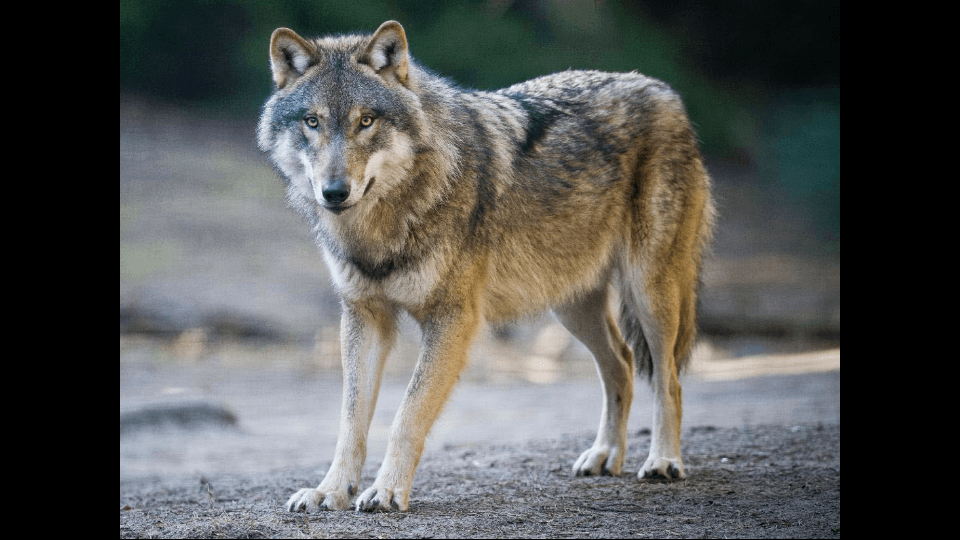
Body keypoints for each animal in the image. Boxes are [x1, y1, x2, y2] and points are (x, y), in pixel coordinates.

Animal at [258, 20, 715, 512]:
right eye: (312, 122)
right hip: (570, 304)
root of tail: (663, 89)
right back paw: (604, 455)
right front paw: (330, 491)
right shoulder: (364, 317)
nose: (334, 192)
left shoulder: (452, 320)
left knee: (669, 379)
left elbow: (407, 414)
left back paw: (663, 461)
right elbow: (350, 421)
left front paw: (387, 491)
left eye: (366, 121)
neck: (385, 224)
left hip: (650, 291)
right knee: (623, 364)